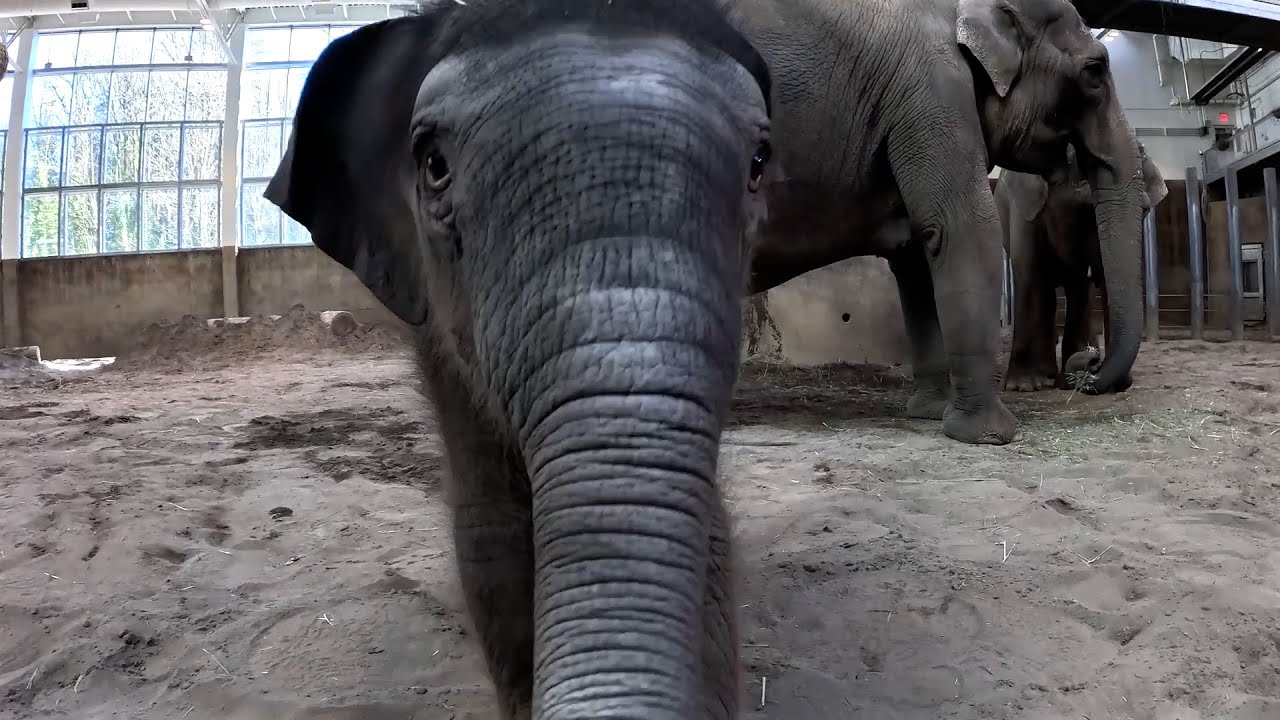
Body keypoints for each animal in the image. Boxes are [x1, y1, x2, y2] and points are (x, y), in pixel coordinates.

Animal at [995, 142, 1168, 392]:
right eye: (1084, 213)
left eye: (1144, 210)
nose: (1094, 361)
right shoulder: (1024, 212)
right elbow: (1028, 276)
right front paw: (1023, 386)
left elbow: (1081, 286)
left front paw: (1068, 382)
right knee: (1044, 292)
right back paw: (1046, 375)